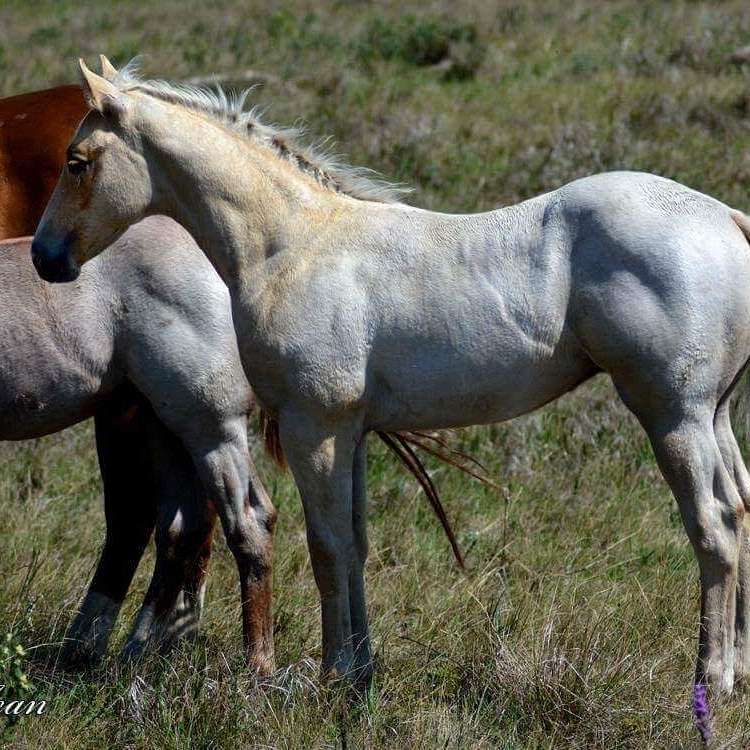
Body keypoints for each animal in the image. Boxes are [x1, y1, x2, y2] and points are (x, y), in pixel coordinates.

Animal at [38, 57, 750, 704]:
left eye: (77, 161)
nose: (47, 259)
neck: (291, 247)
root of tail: (725, 218)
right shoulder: (350, 432)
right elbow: (354, 544)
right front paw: (359, 673)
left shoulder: (313, 427)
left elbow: (325, 546)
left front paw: (331, 680)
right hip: (714, 414)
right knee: (740, 509)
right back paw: (739, 672)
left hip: (674, 416)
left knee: (713, 527)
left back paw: (710, 680)